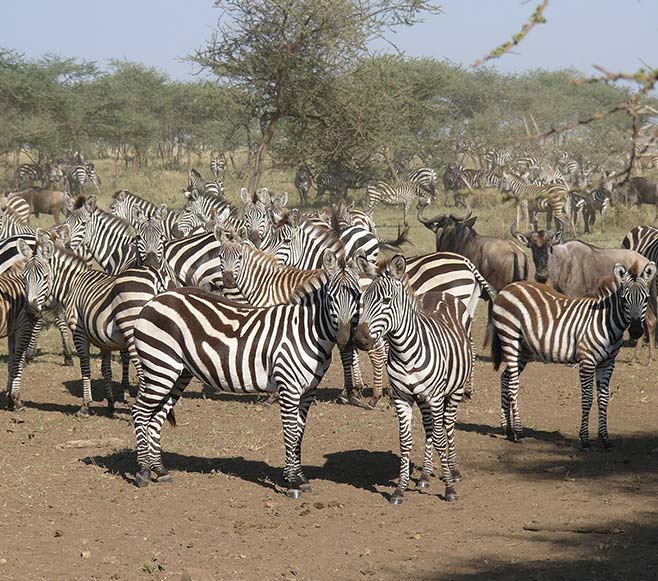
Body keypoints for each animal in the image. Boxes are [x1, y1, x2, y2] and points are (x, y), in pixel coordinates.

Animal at [21, 233, 172, 414]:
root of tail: (156, 279)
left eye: (44, 277)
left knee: (146, 373)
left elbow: (85, 366)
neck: (73, 284)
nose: (31, 311)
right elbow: (106, 370)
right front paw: (110, 403)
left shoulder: (79, 331)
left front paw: (86, 405)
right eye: (24, 277)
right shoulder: (103, 339)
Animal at [129, 249, 358, 494]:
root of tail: (155, 300)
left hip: (177, 373)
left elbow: (299, 433)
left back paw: (160, 470)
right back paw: (143, 472)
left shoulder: (308, 391)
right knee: (140, 413)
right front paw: (292, 481)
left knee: (155, 418)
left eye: (357, 296)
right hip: (160, 367)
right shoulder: (288, 387)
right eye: (331, 297)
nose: (344, 339)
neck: (306, 331)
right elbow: (290, 432)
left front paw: (299, 477)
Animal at [354, 254, 472, 502]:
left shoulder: (435, 397)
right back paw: (425, 476)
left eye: (386, 300)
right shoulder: (402, 397)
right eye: (364, 299)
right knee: (429, 428)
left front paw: (449, 489)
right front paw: (400, 488)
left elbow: (440, 439)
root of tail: (442, 293)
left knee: (447, 425)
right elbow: (405, 441)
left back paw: (454, 471)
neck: (404, 351)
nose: (360, 339)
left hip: (453, 391)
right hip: (423, 399)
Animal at [490, 262, 652, 448]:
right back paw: (519, 431)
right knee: (513, 385)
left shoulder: (608, 363)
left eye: (646, 299)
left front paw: (605, 439)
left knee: (505, 378)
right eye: (624, 299)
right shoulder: (587, 361)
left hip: (523, 349)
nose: (636, 331)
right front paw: (585, 440)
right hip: (510, 338)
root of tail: (509, 287)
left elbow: (603, 399)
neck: (605, 322)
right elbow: (587, 399)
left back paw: (508, 430)